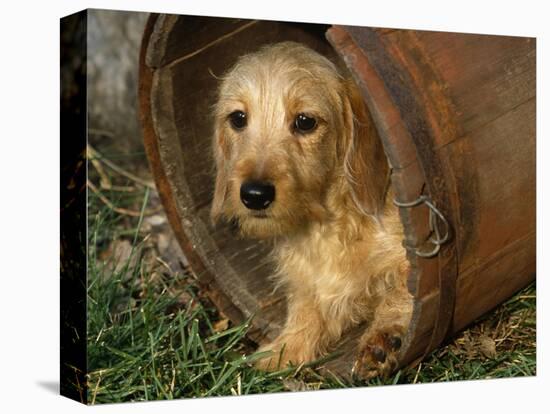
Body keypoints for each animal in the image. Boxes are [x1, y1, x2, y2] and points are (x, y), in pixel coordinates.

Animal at [211, 42, 414, 378]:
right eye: (238, 118)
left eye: (305, 121)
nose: (254, 195)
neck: (327, 227)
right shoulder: (309, 283)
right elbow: (307, 310)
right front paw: (283, 350)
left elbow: (402, 288)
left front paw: (384, 337)